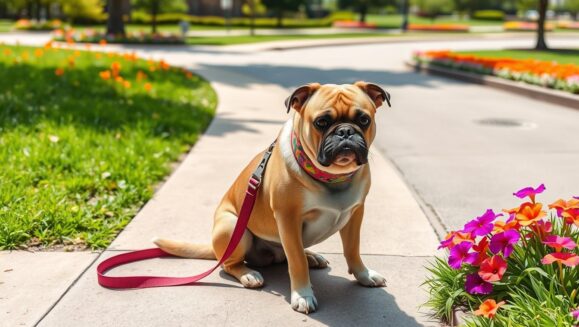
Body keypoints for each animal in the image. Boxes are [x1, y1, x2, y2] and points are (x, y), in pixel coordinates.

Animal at [154, 82, 392, 316]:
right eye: (321, 122)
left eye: (364, 119)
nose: (345, 131)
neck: (331, 177)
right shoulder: (288, 219)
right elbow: (296, 261)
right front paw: (302, 295)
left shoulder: (356, 214)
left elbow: (352, 249)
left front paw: (363, 275)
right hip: (233, 228)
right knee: (229, 264)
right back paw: (248, 274)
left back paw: (311, 256)